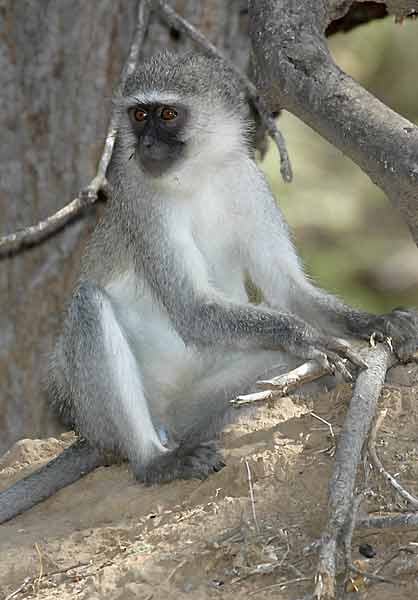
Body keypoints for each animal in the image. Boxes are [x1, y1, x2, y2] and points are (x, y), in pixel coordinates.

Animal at [0, 51, 418, 524]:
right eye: (139, 115)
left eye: (166, 115)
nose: (146, 145)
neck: (198, 173)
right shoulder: (141, 199)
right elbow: (192, 307)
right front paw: (307, 337)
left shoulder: (249, 181)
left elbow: (288, 289)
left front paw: (378, 322)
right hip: (94, 408)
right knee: (89, 304)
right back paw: (155, 461)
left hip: (199, 401)